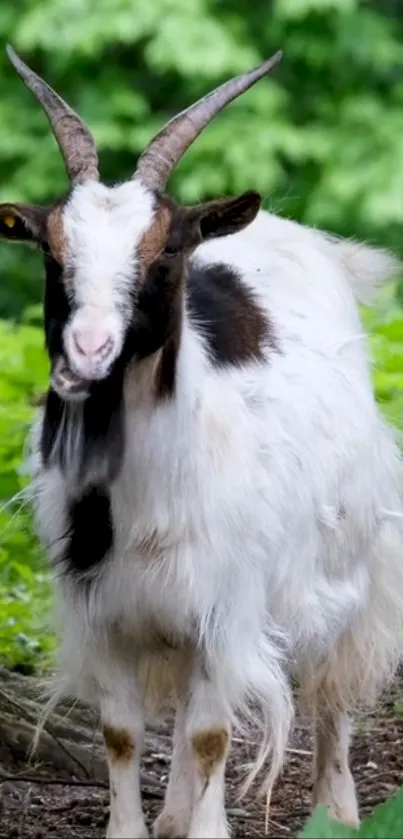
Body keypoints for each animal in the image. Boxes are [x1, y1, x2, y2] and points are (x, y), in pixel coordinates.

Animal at [0, 44, 403, 839]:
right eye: (53, 253)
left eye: (162, 256)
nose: (87, 351)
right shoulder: (106, 612)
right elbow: (125, 732)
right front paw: (137, 828)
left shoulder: (230, 605)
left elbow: (212, 733)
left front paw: (209, 827)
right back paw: (175, 812)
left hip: (356, 561)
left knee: (333, 683)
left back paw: (336, 806)